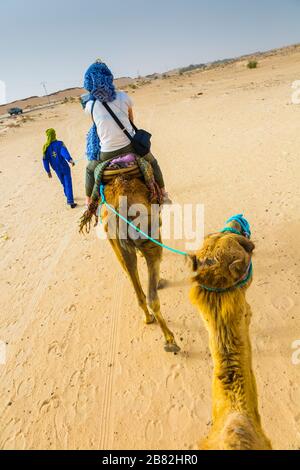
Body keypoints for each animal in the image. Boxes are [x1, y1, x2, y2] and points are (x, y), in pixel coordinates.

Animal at [99, 176, 179, 352]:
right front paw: (159, 281)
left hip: (116, 243)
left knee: (134, 281)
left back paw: (148, 318)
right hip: (148, 234)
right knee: (152, 293)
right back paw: (170, 340)